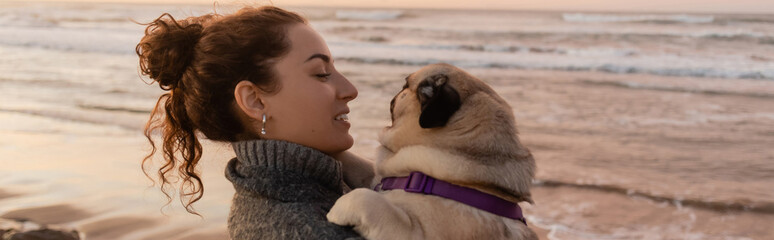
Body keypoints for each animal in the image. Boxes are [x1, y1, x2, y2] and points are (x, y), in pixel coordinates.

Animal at [328, 62, 540, 239]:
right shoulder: (376, 176)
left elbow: (366, 198)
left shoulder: (415, 231)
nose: (397, 93)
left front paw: (337, 209)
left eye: (405, 86)